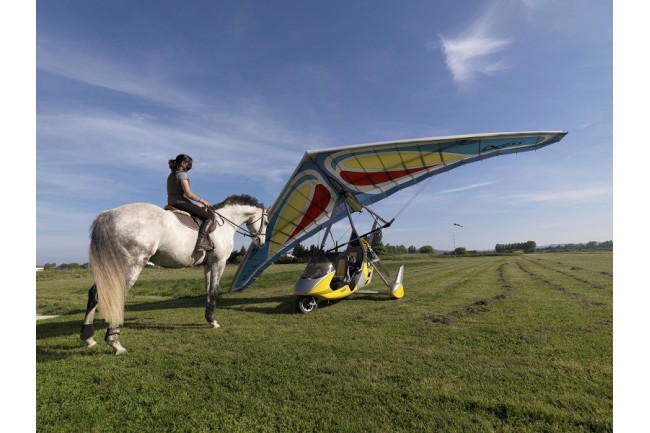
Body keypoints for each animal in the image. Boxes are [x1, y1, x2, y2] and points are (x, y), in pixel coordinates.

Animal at [79, 194, 268, 352]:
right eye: (266, 222)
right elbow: (214, 292)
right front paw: (213, 321)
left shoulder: (207, 266)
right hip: (130, 266)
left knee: (95, 294)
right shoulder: (218, 263)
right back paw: (115, 343)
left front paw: (209, 318)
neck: (224, 225)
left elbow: (208, 292)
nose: (260, 242)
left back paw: (88, 338)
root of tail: (108, 214)